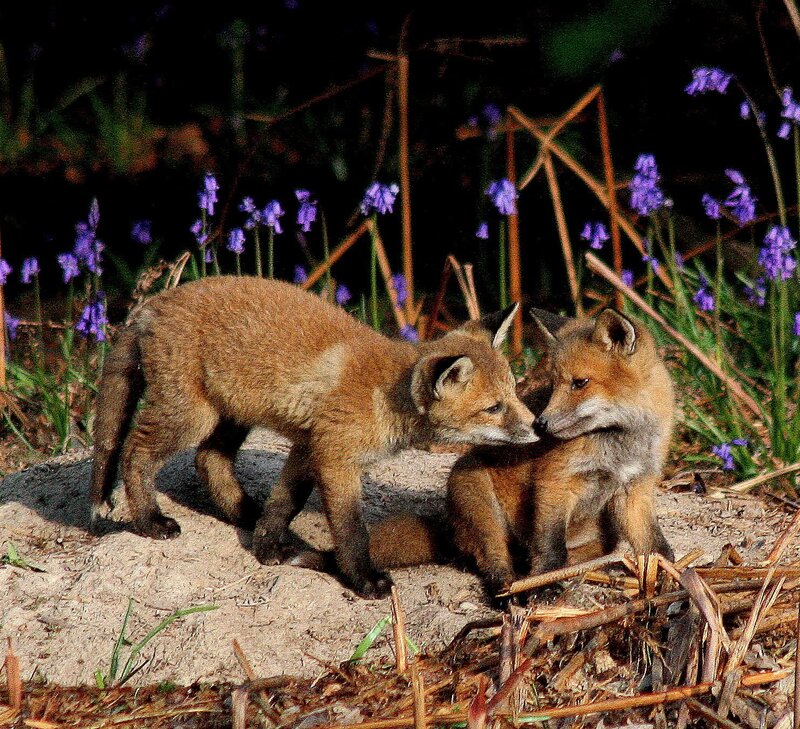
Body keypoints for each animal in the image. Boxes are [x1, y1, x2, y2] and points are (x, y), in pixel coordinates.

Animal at [89, 276, 538, 598]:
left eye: (514, 393)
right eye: (494, 408)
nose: (537, 427)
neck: (384, 397)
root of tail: (154, 303)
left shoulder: (308, 446)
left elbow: (284, 503)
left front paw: (267, 546)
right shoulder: (335, 456)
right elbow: (351, 529)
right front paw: (363, 579)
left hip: (231, 413)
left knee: (208, 459)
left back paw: (244, 513)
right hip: (192, 416)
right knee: (134, 451)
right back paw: (149, 520)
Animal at [364, 307, 675, 600]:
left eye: (580, 382)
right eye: (554, 383)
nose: (541, 424)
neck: (620, 443)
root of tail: (450, 527)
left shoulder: (635, 488)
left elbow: (654, 545)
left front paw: (668, 576)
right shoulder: (555, 482)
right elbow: (550, 546)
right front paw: (544, 583)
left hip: (600, 536)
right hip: (479, 501)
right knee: (493, 562)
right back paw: (508, 589)